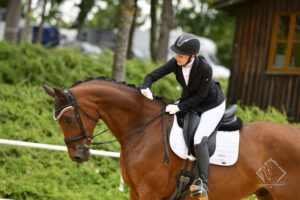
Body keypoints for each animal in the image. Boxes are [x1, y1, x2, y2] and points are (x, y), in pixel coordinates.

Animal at [42, 77, 300, 200]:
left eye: (68, 119)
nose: (77, 155)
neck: (142, 128)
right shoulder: (136, 192)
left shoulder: (149, 192)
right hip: (267, 195)